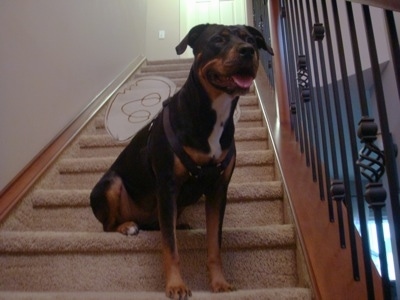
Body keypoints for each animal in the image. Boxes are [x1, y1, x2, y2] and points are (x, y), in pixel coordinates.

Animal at [90, 22, 272, 298]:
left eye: (250, 39)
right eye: (218, 39)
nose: (247, 50)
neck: (214, 113)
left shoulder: (218, 190)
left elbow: (214, 244)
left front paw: (219, 282)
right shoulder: (167, 187)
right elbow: (170, 247)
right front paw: (175, 285)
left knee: (162, 225)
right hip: (111, 184)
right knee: (109, 225)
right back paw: (127, 226)